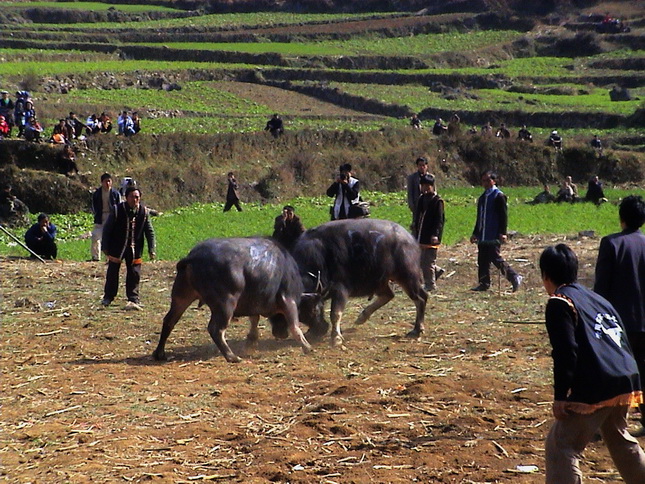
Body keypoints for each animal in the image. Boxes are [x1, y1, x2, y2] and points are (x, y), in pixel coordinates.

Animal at [152, 238, 312, 364]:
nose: (281, 334)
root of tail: (192, 258)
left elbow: (254, 319)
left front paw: (251, 341)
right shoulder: (288, 300)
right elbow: (294, 326)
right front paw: (307, 347)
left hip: (180, 298)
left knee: (169, 321)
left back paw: (160, 354)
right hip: (226, 304)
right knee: (216, 329)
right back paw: (232, 357)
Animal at [294, 217, 428, 346]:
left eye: (315, 309)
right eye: (300, 315)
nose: (319, 330)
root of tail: (410, 239)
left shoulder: (340, 288)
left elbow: (335, 313)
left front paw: (336, 338)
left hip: (407, 276)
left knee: (421, 298)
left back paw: (417, 329)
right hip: (379, 280)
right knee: (389, 295)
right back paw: (362, 316)